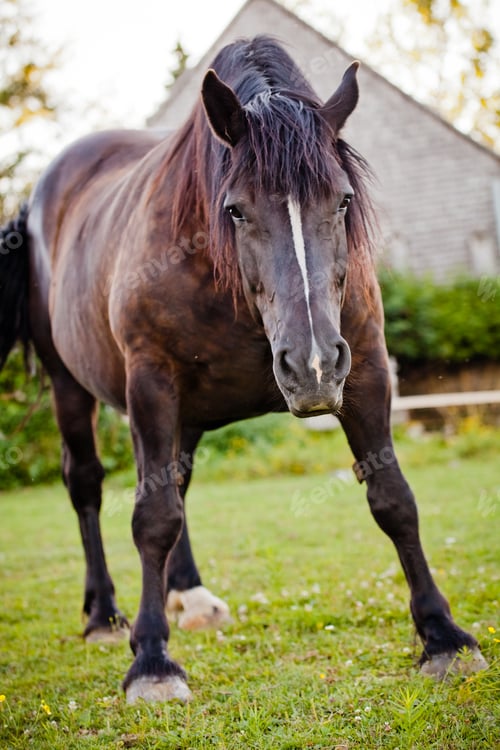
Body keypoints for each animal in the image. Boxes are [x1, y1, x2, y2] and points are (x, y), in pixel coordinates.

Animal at [0, 36, 486, 703]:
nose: (311, 364)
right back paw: (104, 615)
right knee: (88, 485)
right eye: (234, 210)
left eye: (343, 200)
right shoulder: (151, 381)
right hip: (71, 384)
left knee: (174, 478)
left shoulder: (363, 371)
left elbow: (393, 499)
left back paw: (188, 596)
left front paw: (443, 637)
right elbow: (152, 517)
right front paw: (152, 661)